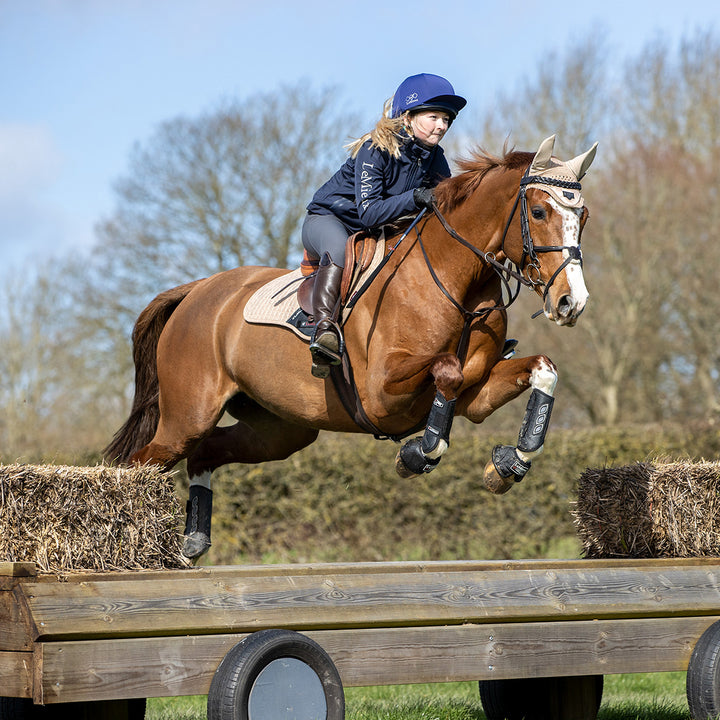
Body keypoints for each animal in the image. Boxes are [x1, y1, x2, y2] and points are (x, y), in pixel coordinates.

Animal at [105, 138, 596, 560]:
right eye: (538, 211)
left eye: (584, 217)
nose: (571, 303)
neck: (457, 278)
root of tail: (196, 291)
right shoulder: (381, 394)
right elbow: (447, 372)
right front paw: (415, 455)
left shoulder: (477, 394)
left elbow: (542, 371)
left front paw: (507, 465)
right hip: (187, 416)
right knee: (139, 464)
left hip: (279, 430)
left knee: (205, 453)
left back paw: (193, 542)